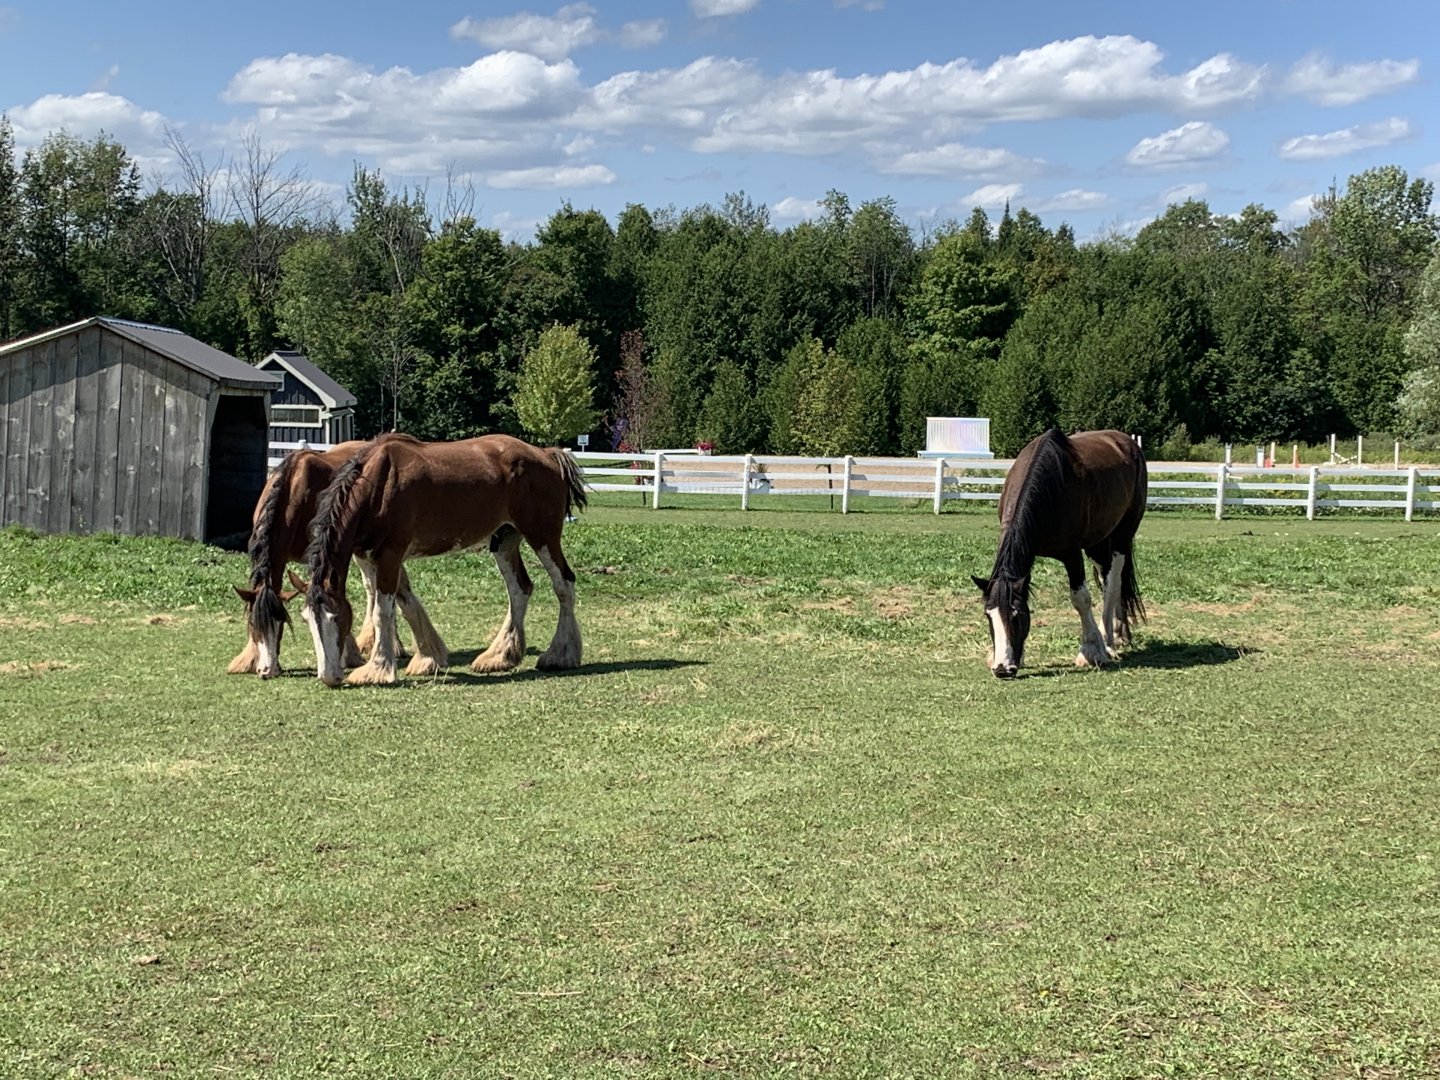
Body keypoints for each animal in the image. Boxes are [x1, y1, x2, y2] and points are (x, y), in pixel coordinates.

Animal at [228, 439, 423, 679]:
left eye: (281, 622)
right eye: (252, 623)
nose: (267, 670)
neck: (292, 491)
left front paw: (347, 654)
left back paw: (394, 647)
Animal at [298, 433, 589, 687]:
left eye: (336, 617)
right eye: (307, 620)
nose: (328, 676)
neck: (379, 485)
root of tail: (547, 455)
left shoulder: (390, 554)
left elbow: (383, 612)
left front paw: (377, 669)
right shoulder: (372, 557)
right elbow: (404, 604)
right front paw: (427, 658)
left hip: (542, 536)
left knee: (564, 585)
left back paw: (560, 654)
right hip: (505, 540)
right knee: (520, 589)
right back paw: (499, 656)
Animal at [971, 428, 1146, 678]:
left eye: (1016, 614)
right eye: (989, 615)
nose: (1003, 669)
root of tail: (1127, 443)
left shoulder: (1071, 554)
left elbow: (1080, 598)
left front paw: (1092, 651)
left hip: (1123, 535)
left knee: (1113, 584)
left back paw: (1108, 642)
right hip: (1098, 542)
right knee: (1108, 579)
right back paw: (1117, 635)